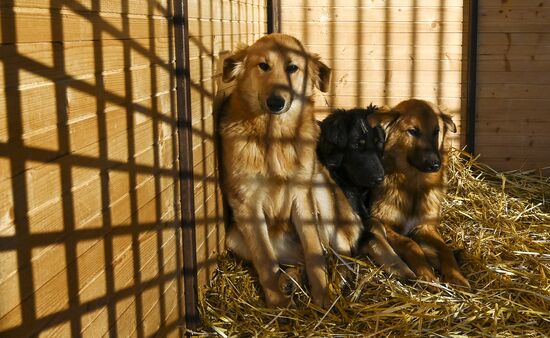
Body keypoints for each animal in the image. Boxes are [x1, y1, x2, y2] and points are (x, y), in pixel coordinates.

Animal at [220, 34, 410, 308]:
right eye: (263, 66)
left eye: (292, 68)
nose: (276, 103)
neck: (275, 138)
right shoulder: (246, 205)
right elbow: (266, 260)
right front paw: (277, 304)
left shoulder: (303, 196)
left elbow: (315, 254)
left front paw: (322, 297)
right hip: (234, 237)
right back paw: (290, 279)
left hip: (322, 189)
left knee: (338, 253)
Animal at [370, 99, 470, 288]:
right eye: (413, 131)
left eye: (436, 132)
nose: (435, 164)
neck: (414, 186)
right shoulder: (384, 224)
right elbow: (410, 243)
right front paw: (427, 274)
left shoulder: (426, 226)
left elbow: (445, 249)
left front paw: (457, 276)